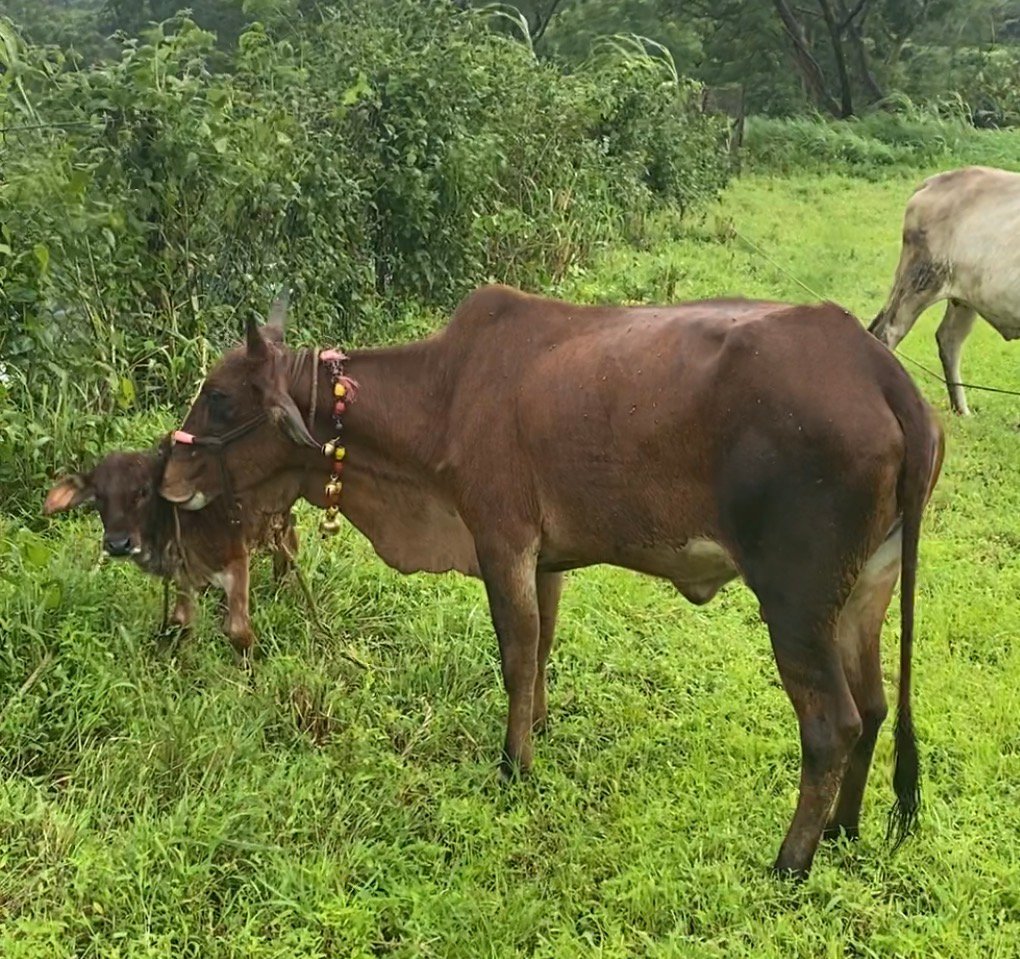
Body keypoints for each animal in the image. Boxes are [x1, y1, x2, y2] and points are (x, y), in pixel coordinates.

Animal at [44, 438, 298, 661]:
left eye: (143, 491)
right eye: (97, 496)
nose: (118, 543)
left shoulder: (235, 560)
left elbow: (239, 633)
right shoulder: (183, 573)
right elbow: (180, 623)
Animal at [158, 286, 943, 878]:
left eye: (220, 398)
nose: (167, 473)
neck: (444, 394)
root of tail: (882, 374)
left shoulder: (502, 539)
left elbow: (515, 653)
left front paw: (513, 765)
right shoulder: (546, 561)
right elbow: (541, 648)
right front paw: (536, 728)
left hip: (795, 599)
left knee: (833, 724)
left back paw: (791, 860)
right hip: (864, 591)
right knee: (874, 707)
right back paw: (843, 828)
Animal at [869, 165, 1020, 415]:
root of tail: (935, 181)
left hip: (963, 298)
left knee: (948, 339)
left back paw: (962, 410)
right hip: (920, 281)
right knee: (887, 332)